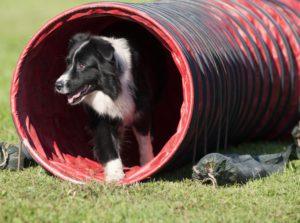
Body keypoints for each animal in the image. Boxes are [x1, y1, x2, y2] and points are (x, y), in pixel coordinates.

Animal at [54, 33, 156, 182]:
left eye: (82, 65)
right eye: (68, 62)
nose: (57, 85)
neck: (111, 88)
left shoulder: (141, 109)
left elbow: (144, 141)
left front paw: (148, 163)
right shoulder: (102, 116)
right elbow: (108, 144)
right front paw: (115, 174)